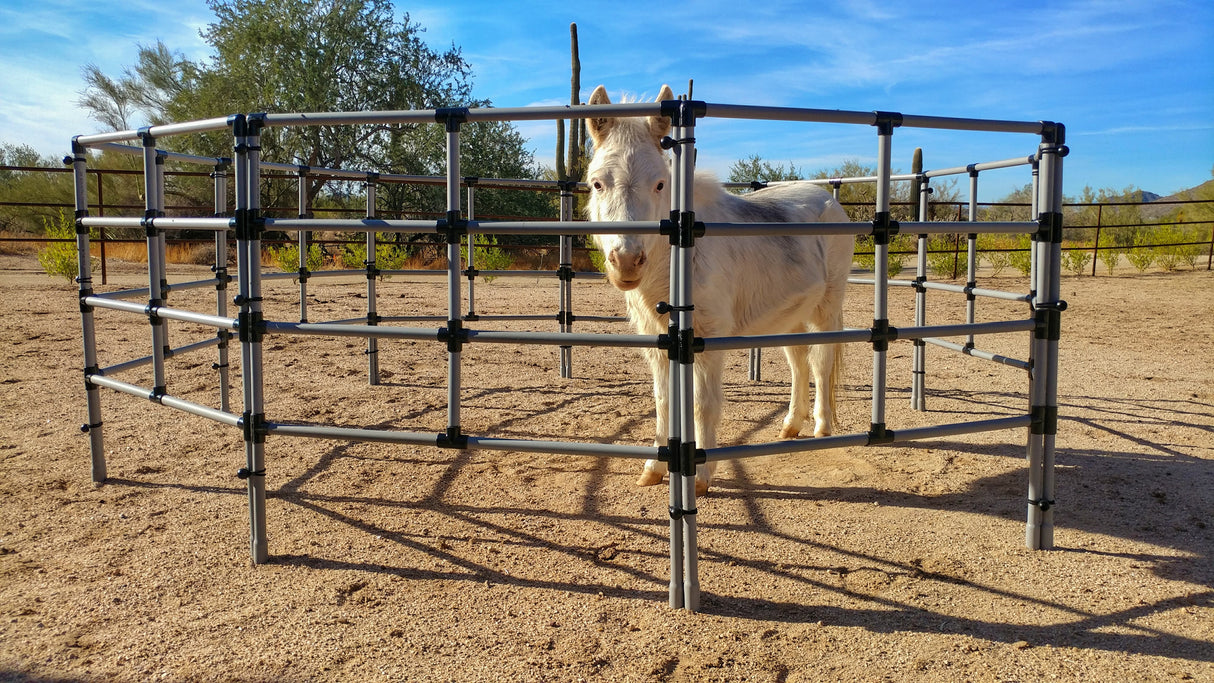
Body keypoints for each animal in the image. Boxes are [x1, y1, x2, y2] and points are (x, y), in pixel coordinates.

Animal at [587, 84, 854, 497]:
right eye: (598, 183)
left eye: (660, 184)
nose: (627, 261)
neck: (679, 256)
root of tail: (828, 200)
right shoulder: (658, 342)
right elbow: (663, 401)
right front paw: (653, 469)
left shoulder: (707, 341)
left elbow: (702, 403)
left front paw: (701, 478)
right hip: (791, 315)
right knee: (799, 361)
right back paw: (791, 425)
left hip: (827, 306)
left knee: (822, 362)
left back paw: (822, 427)